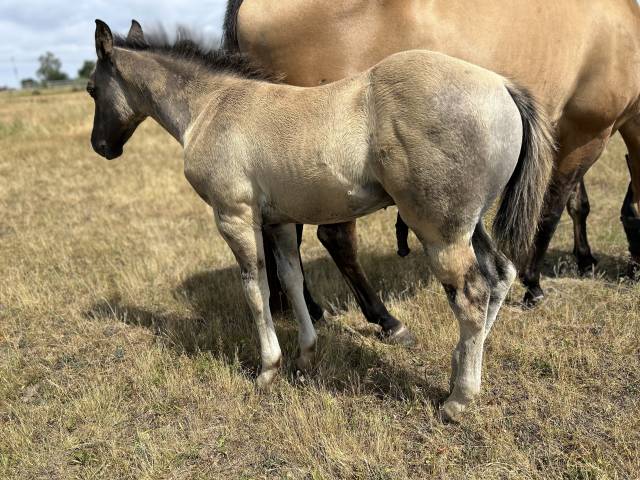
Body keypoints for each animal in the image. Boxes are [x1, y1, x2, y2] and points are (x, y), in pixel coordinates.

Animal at [88, 20, 554, 420]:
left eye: (92, 88)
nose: (100, 147)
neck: (212, 106)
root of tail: (502, 85)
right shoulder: (278, 220)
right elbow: (291, 280)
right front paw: (306, 355)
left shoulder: (234, 216)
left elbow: (255, 288)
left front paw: (268, 369)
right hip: (470, 225)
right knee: (500, 274)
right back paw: (460, 365)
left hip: (440, 231)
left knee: (472, 295)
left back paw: (459, 399)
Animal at [224, 0, 640, 315]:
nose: (633, 271)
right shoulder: (589, 133)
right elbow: (550, 212)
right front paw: (533, 283)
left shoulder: (568, 132)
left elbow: (576, 203)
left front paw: (584, 259)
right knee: (334, 236)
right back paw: (379, 318)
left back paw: (300, 307)